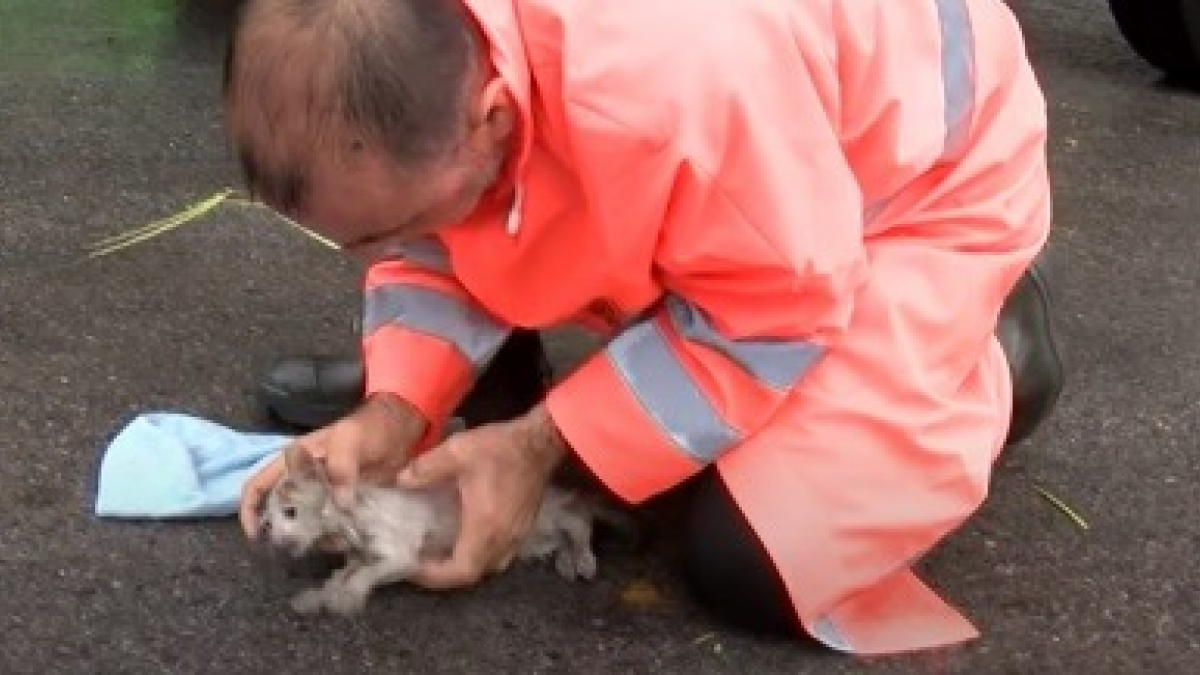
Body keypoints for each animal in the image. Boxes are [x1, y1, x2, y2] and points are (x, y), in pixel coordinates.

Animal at [259, 446, 624, 614]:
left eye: (290, 512)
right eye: (268, 523)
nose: (274, 541)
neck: (355, 524)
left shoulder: (402, 557)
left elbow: (363, 575)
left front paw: (346, 598)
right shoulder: (362, 556)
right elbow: (343, 574)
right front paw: (318, 596)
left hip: (542, 516)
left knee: (579, 519)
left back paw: (584, 557)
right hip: (530, 541)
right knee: (563, 533)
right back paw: (567, 560)